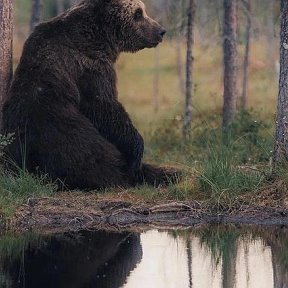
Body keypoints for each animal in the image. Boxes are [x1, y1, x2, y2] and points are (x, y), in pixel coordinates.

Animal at [1, 0, 178, 189]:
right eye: (138, 13)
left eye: (142, 11)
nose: (161, 31)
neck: (100, 38)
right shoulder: (89, 68)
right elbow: (105, 108)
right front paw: (136, 153)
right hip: (63, 133)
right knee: (97, 160)